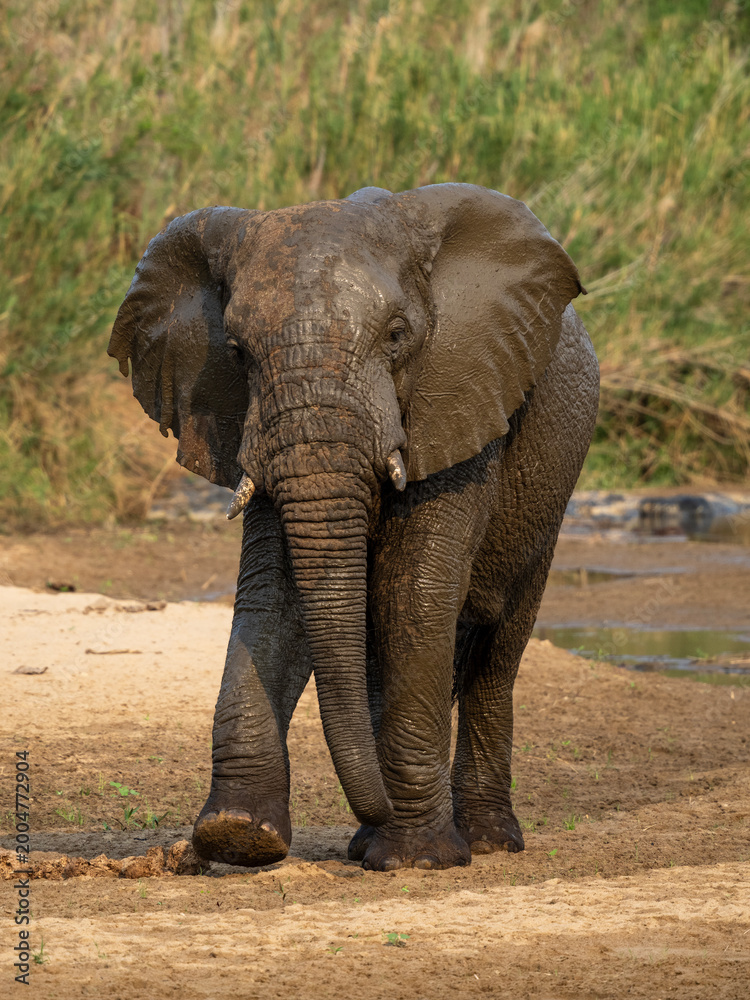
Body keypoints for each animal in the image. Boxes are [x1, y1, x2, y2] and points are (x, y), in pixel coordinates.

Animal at [108, 183, 599, 871]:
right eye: (235, 352)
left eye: (397, 335)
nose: (379, 812)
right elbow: (275, 597)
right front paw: (238, 836)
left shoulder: (458, 396)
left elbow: (415, 595)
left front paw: (419, 859)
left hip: (552, 493)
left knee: (497, 650)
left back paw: (486, 841)